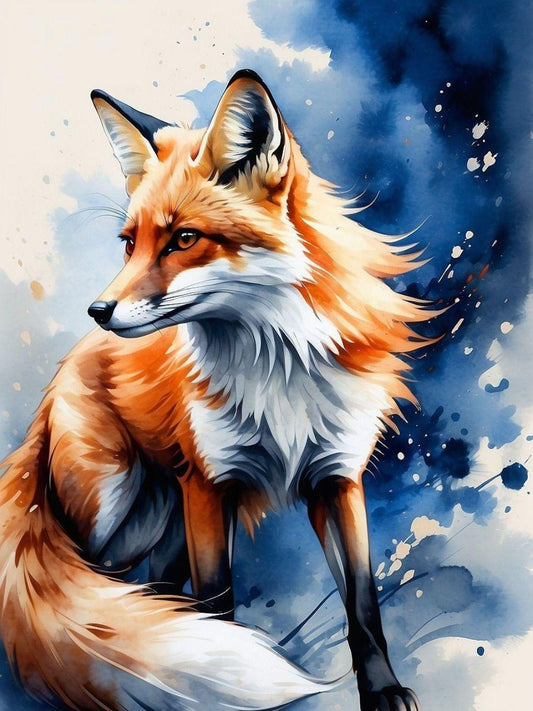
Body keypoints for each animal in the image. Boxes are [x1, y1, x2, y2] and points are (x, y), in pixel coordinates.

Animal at [0, 70, 428, 711]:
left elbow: (363, 605)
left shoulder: (337, 478)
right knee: (97, 593)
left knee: (149, 594)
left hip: (161, 526)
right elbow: (218, 603)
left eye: (183, 239)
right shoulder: (209, 484)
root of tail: (62, 372)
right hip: (110, 510)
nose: (99, 310)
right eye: (129, 243)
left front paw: (383, 690)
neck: (277, 371)